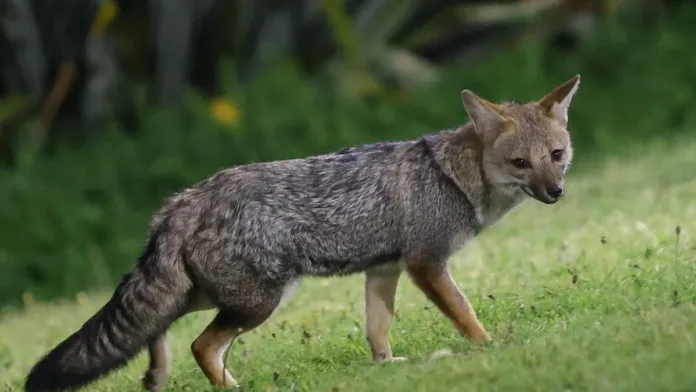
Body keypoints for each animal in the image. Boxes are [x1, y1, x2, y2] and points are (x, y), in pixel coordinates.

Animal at [24, 75, 580, 390]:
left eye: (556, 155)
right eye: (520, 163)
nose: (556, 193)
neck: (450, 174)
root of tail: (184, 200)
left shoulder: (385, 269)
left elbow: (378, 329)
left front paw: (388, 367)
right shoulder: (427, 263)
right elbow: (464, 313)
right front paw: (490, 347)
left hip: (212, 296)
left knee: (155, 329)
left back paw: (157, 377)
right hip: (257, 302)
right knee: (200, 346)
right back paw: (233, 389)